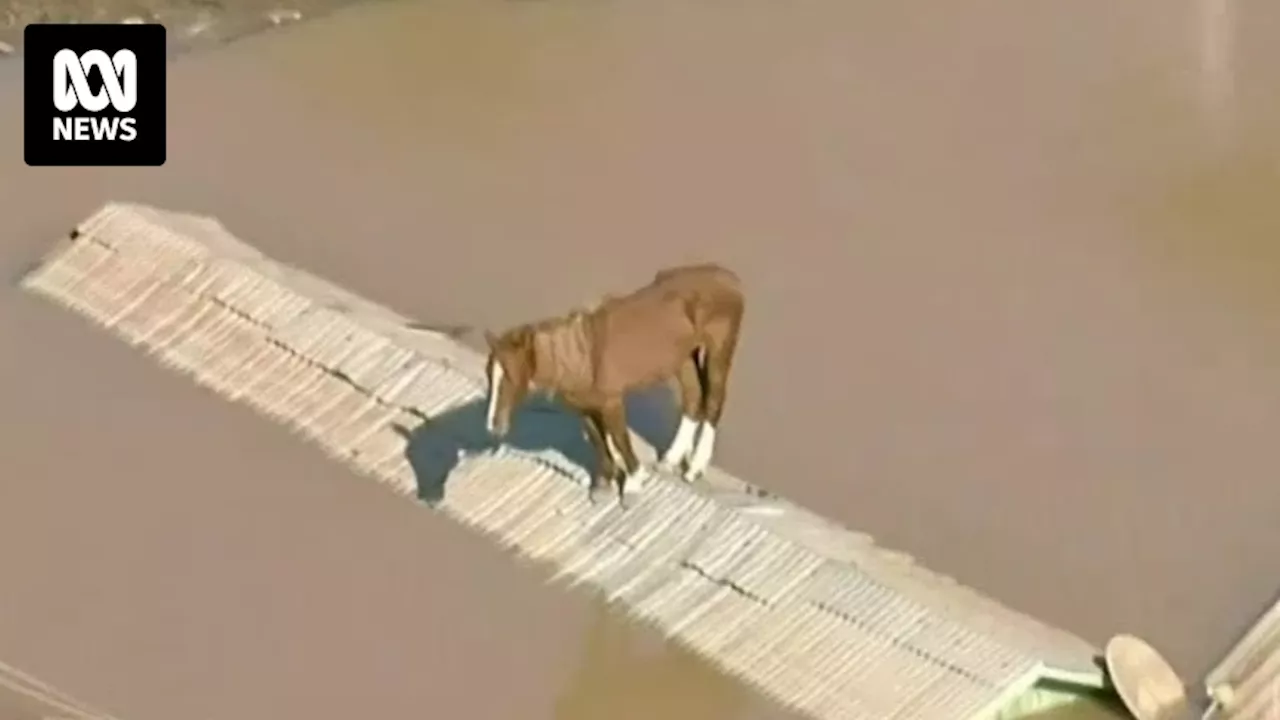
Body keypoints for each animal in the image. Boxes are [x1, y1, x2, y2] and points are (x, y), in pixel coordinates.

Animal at [483, 260, 747, 502]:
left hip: (718, 351)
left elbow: (619, 439)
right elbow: (599, 442)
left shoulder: (612, 403)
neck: (583, 355)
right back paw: (671, 459)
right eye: (489, 374)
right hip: (683, 358)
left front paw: (633, 483)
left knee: (713, 401)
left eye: (510, 375)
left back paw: (694, 468)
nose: (493, 426)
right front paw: (604, 485)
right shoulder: (586, 408)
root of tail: (730, 278)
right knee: (693, 398)